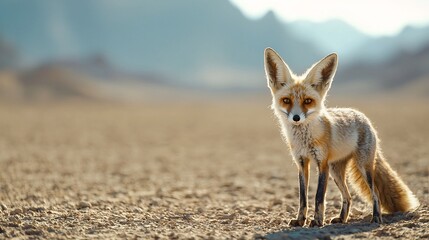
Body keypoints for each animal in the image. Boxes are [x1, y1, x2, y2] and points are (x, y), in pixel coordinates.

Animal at [264, 47, 418, 227]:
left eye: (308, 101)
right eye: (286, 100)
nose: (296, 118)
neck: (304, 140)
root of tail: (363, 117)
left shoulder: (322, 163)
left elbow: (319, 197)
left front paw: (317, 221)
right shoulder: (301, 163)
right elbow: (303, 198)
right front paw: (300, 220)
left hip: (362, 167)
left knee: (376, 194)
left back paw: (376, 217)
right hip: (336, 171)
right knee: (348, 196)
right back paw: (342, 218)